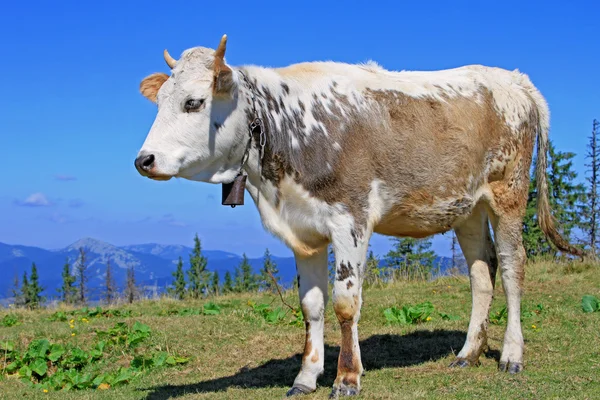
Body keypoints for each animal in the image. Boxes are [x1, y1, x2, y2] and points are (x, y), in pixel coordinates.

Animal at [135, 35, 580, 396]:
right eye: (160, 101)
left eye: (193, 102)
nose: (144, 160)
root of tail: (514, 78)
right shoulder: (304, 230)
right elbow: (311, 306)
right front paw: (306, 377)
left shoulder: (350, 220)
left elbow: (346, 303)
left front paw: (347, 378)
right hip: (467, 206)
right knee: (481, 272)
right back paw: (468, 353)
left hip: (509, 191)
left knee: (512, 266)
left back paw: (511, 355)